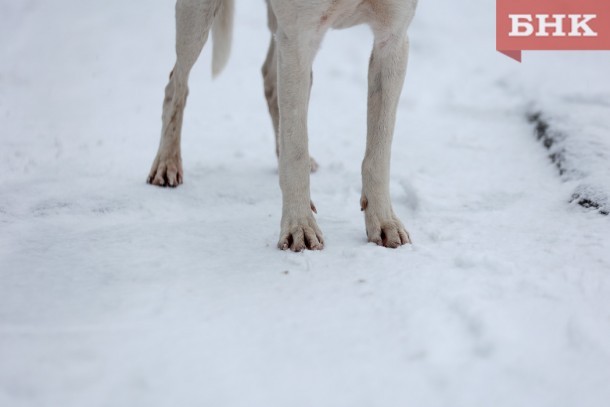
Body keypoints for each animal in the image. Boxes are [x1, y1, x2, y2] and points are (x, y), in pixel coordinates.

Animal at [146, 0, 418, 252]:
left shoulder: (391, 39)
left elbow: (379, 153)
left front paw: (384, 222)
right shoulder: (298, 39)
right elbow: (296, 150)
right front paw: (300, 226)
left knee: (270, 79)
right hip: (196, 18)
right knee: (176, 85)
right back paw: (167, 162)